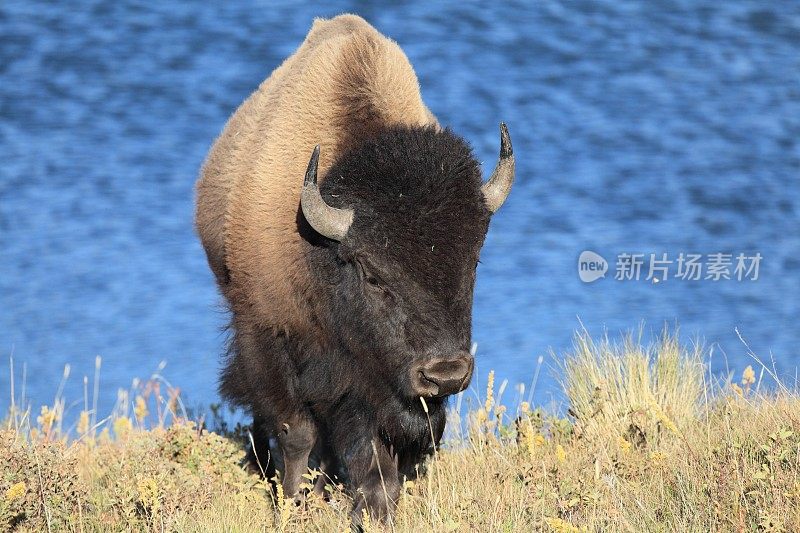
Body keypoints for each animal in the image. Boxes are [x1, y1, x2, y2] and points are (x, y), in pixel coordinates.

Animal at [197, 14, 516, 520]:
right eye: (372, 274)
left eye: (474, 260)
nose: (445, 373)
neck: (321, 254)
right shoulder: (267, 338)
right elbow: (296, 430)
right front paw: (293, 502)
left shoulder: (379, 387)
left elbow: (379, 443)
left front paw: (374, 505)